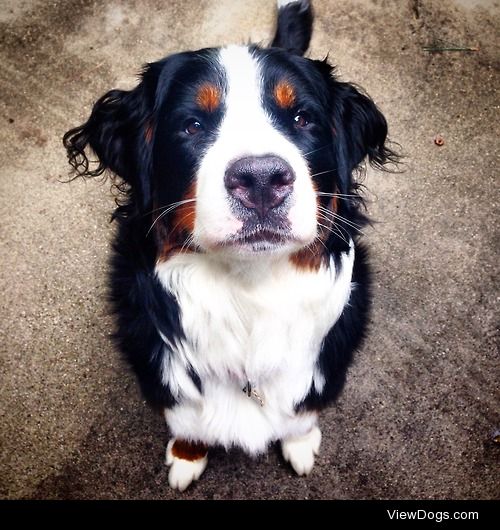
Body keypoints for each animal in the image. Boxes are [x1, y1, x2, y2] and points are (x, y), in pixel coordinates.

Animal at [63, 0, 398, 488]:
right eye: (191, 125)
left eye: (302, 119)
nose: (261, 179)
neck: (249, 292)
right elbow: (187, 422)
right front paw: (186, 456)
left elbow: (301, 413)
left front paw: (300, 444)